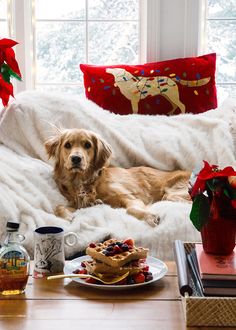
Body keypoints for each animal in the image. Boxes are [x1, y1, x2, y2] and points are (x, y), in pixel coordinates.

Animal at [45, 129, 191, 227]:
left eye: (87, 145)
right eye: (67, 145)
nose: (76, 158)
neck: (84, 181)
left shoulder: (129, 197)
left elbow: (131, 209)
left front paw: (149, 216)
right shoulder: (78, 204)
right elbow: (58, 207)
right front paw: (68, 216)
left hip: (172, 192)